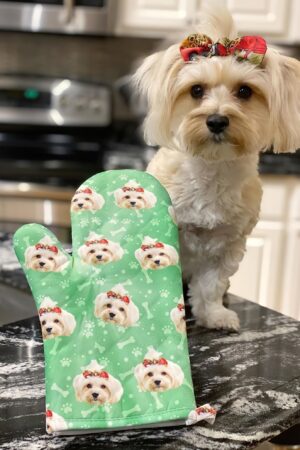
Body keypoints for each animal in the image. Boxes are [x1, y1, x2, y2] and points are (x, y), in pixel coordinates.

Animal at [134, 4, 300, 330]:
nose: (217, 120)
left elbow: (211, 286)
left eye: (245, 91)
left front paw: (214, 315)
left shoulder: (228, 244)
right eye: (197, 90)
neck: (212, 169)